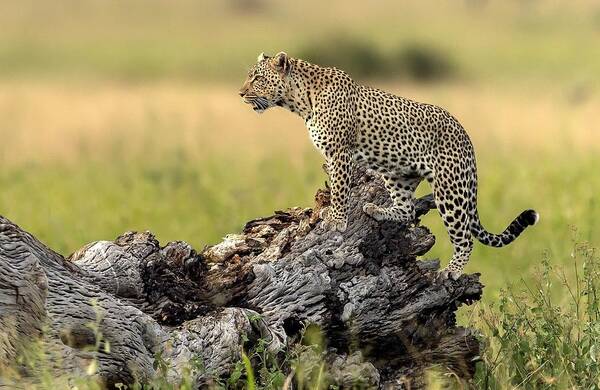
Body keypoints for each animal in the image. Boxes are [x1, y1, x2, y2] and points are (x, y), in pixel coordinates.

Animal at [239, 51, 540, 278]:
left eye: (257, 78)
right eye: (248, 76)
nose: (241, 93)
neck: (300, 101)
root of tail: (466, 135)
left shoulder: (340, 154)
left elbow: (339, 190)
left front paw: (336, 220)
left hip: (450, 189)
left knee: (464, 237)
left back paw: (452, 271)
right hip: (398, 174)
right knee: (407, 210)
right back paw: (379, 210)